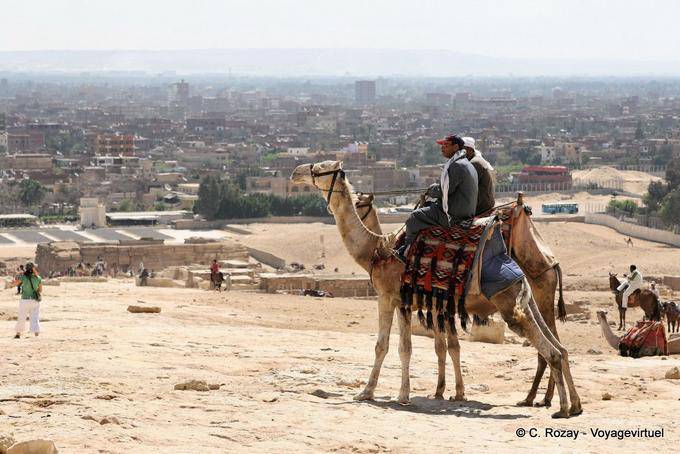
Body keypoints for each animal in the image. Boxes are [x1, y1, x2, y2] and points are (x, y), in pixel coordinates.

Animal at [354, 192, 566, 407]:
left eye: (358, 203)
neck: (381, 249)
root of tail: (552, 263)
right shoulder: (436, 304)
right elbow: (445, 347)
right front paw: (445, 391)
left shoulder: (394, 298)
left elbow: (399, 346)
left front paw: (375, 392)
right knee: (554, 341)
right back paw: (542, 398)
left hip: (533, 295)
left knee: (547, 343)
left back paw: (539, 398)